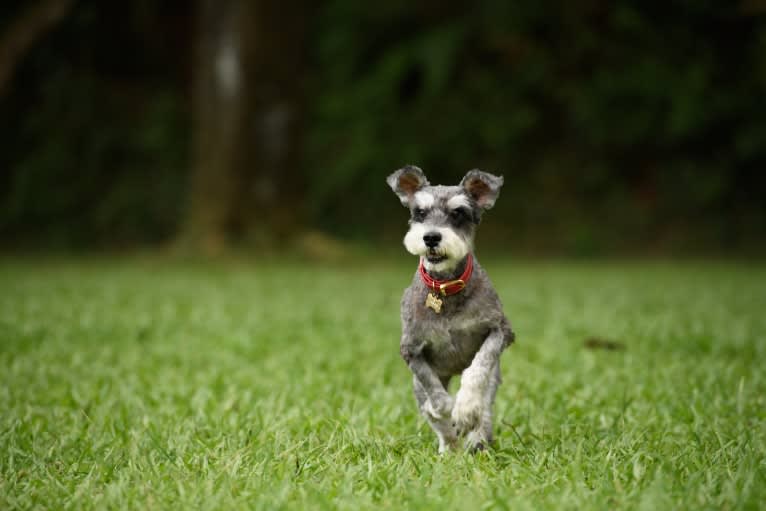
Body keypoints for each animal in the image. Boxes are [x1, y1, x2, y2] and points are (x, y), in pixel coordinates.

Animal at [388, 166, 520, 454]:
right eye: (420, 212)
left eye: (458, 213)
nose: (431, 237)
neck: (445, 289)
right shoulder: (411, 351)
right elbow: (436, 398)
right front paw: (448, 412)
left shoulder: (499, 331)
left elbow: (476, 370)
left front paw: (466, 409)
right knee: (435, 415)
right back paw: (449, 446)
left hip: (494, 377)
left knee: (485, 408)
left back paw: (477, 440)